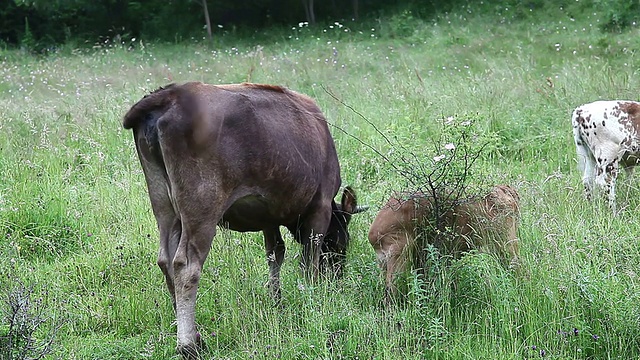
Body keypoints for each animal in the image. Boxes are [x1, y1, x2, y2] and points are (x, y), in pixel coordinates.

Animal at [123, 82, 362, 358]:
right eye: (341, 243)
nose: (337, 278)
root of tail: (170, 94)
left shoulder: (269, 216)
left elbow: (275, 253)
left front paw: (276, 299)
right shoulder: (319, 208)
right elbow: (309, 260)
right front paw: (312, 296)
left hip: (164, 205)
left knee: (165, 260)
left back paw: (191, 331)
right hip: (202, 209)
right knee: (185, 266)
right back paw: (188, 345)